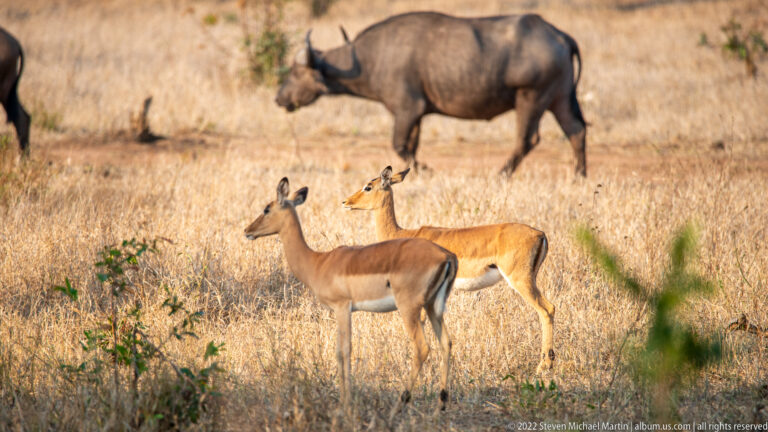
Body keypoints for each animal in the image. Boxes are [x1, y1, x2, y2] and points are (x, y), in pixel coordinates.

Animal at [276, 12, 587, 176]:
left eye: (295, 72)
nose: (279, 98)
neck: (370, 59)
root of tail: (558, 35)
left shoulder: (407, 109)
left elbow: (399, 146)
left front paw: (426, 170)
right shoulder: (418, 115)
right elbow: (410, 147)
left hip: (531, 99)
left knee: (527, 140)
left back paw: (501, 174)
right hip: (560, 99)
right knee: (577, 130)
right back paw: (579, 175)